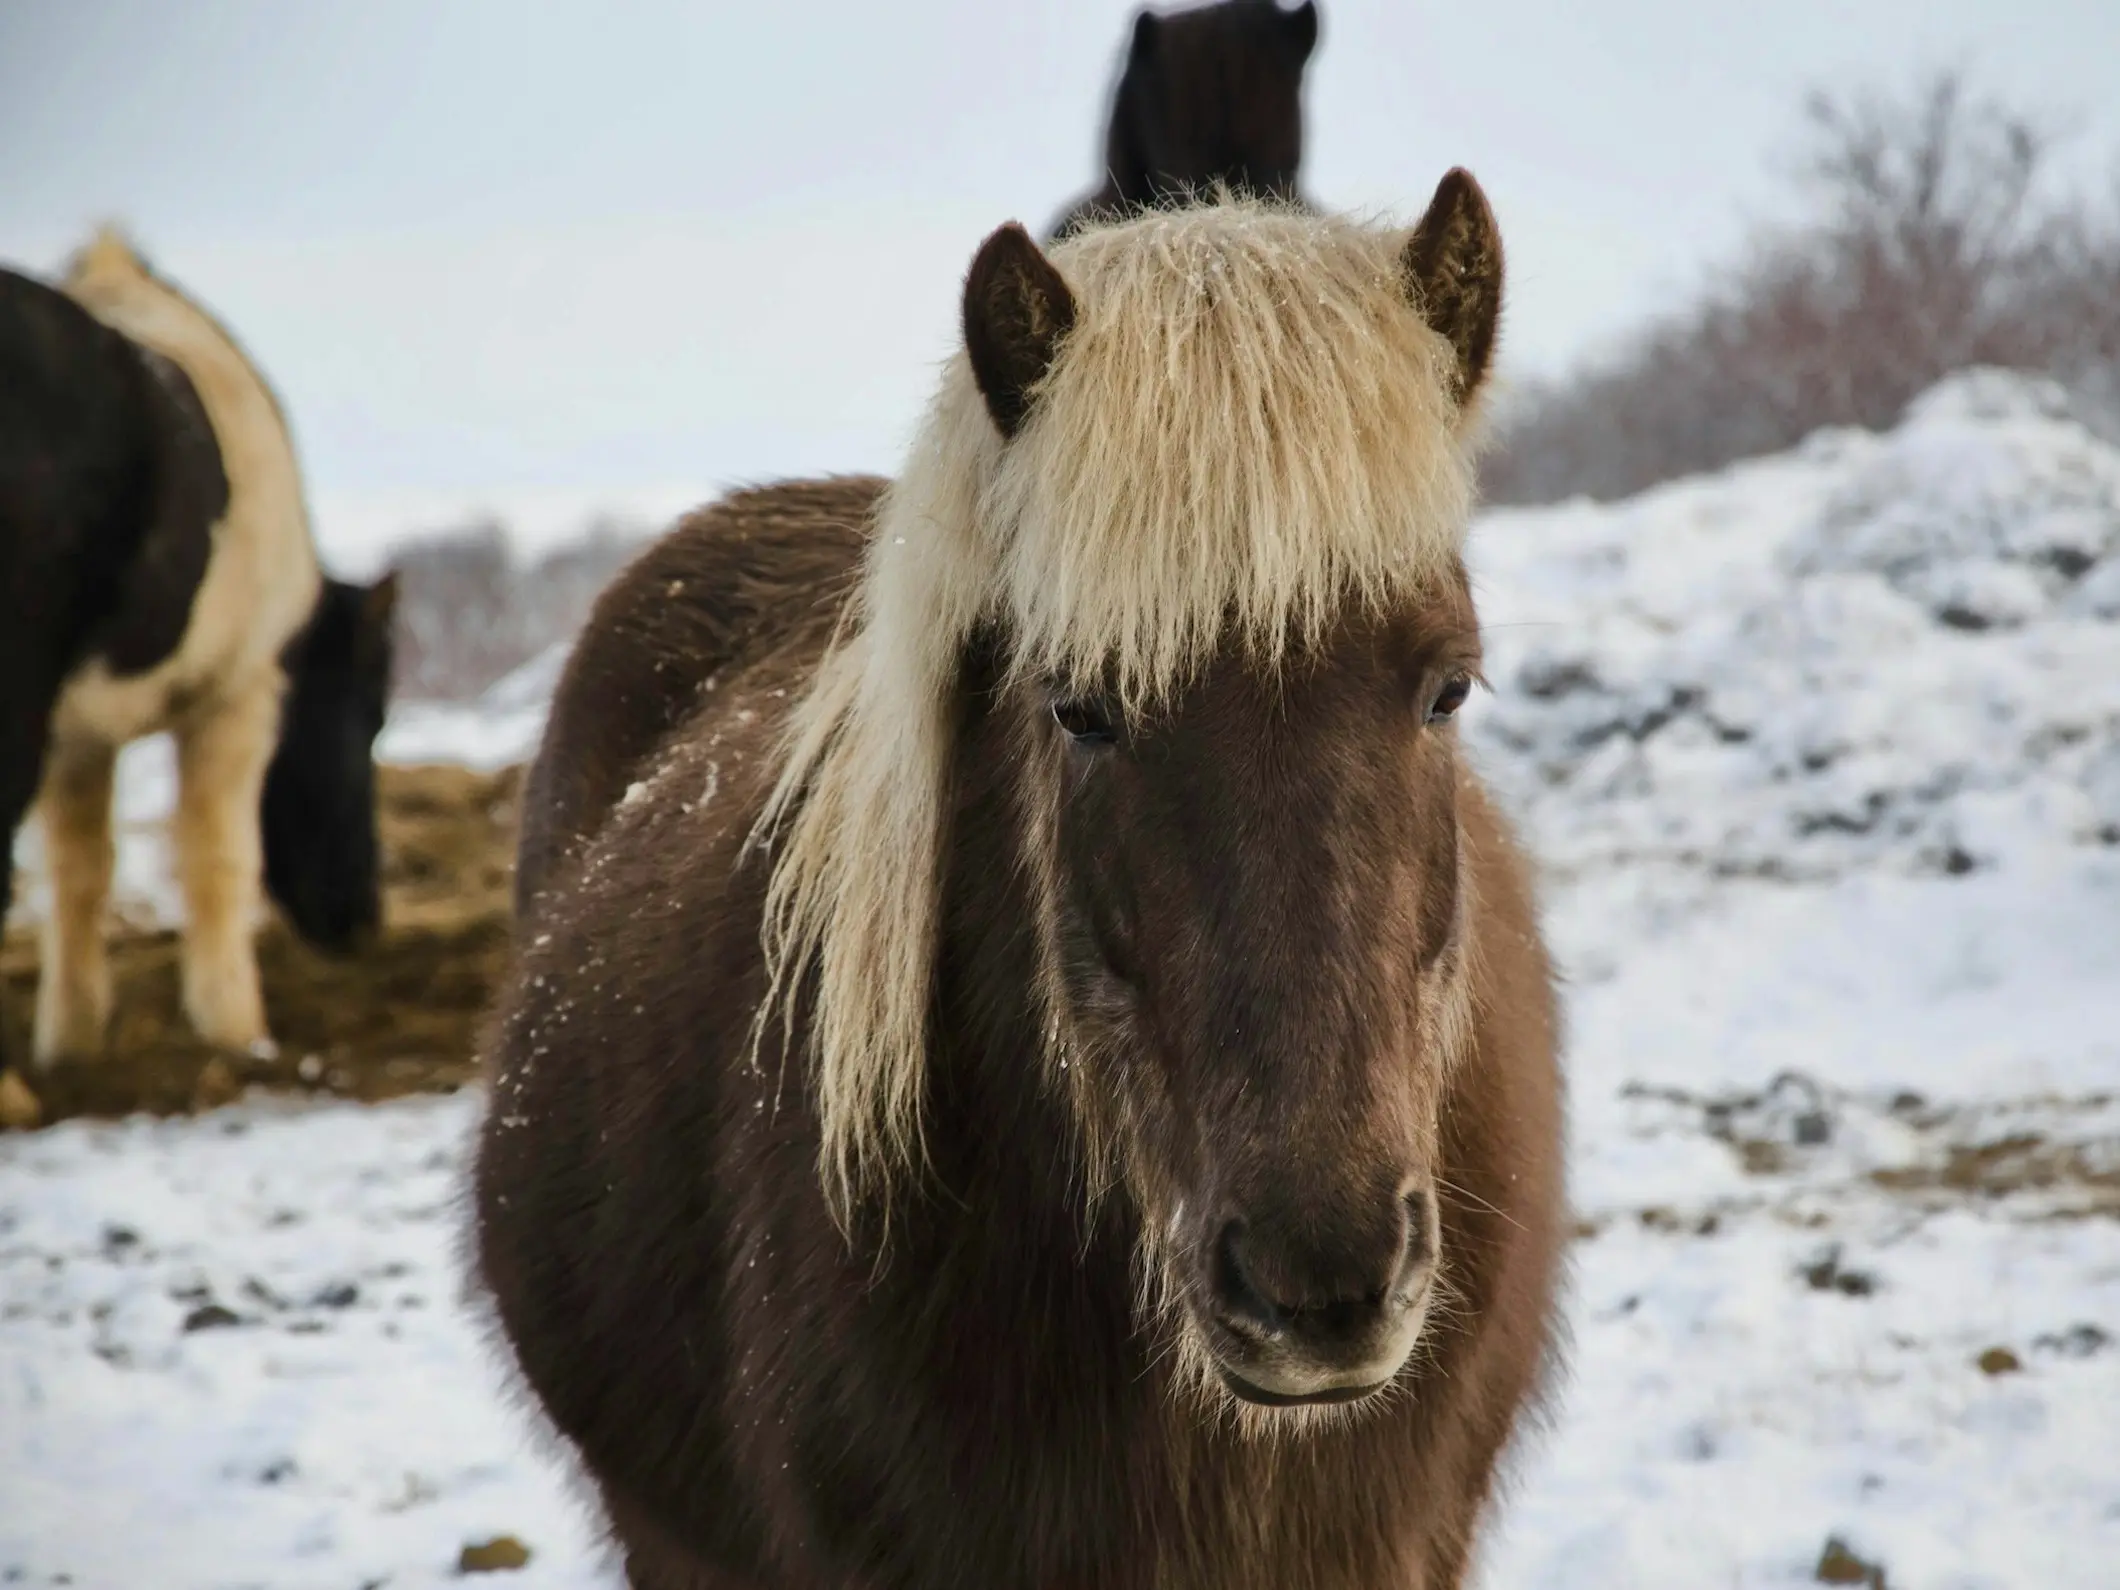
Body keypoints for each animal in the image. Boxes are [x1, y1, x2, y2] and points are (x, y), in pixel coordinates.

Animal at [1, 236, 394, 1076]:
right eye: (374, 718)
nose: (364, 919)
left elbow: (81, 872)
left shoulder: (77, 736)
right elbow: (217, 859)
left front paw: (70, 1043)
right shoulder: (240, 692)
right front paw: (238, 1033)